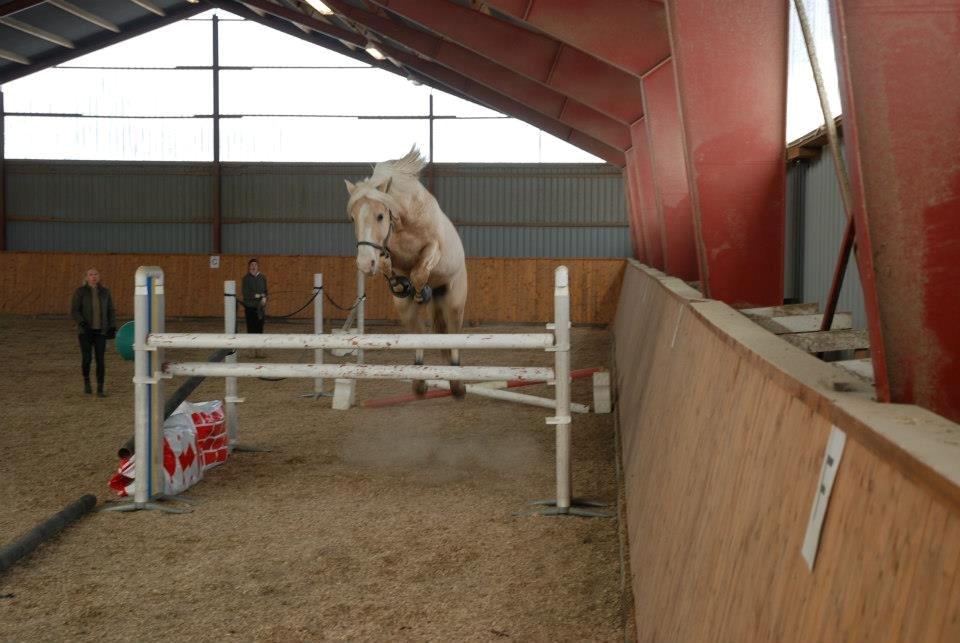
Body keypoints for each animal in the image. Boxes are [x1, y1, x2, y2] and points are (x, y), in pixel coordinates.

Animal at [344, 147, 468, 398]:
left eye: (380, 216)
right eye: (353, 218)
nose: (364, 264)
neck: (403, 222)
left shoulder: (433, 248)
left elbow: (420, 272)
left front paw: (420, 291)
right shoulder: (387, 253)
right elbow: (391, 268)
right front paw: (401, 285)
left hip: (454, 300)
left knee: (453, 332)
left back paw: (457, 384)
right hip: (405, 308)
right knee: (418, 332)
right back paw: (419, 381)